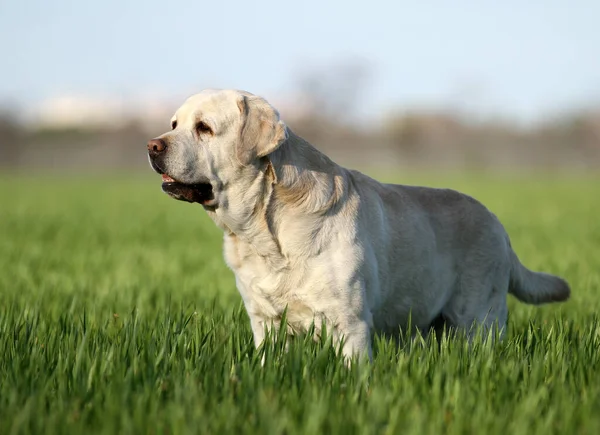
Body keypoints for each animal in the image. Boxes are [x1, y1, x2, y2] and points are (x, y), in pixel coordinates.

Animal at [146, 87, 572, 362]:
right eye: (174, 123)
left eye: (204, 127)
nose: (151, 145)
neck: (267, 230)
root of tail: (497, 223)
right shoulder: (265, 323)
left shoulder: (349, 324)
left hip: (479, 319)